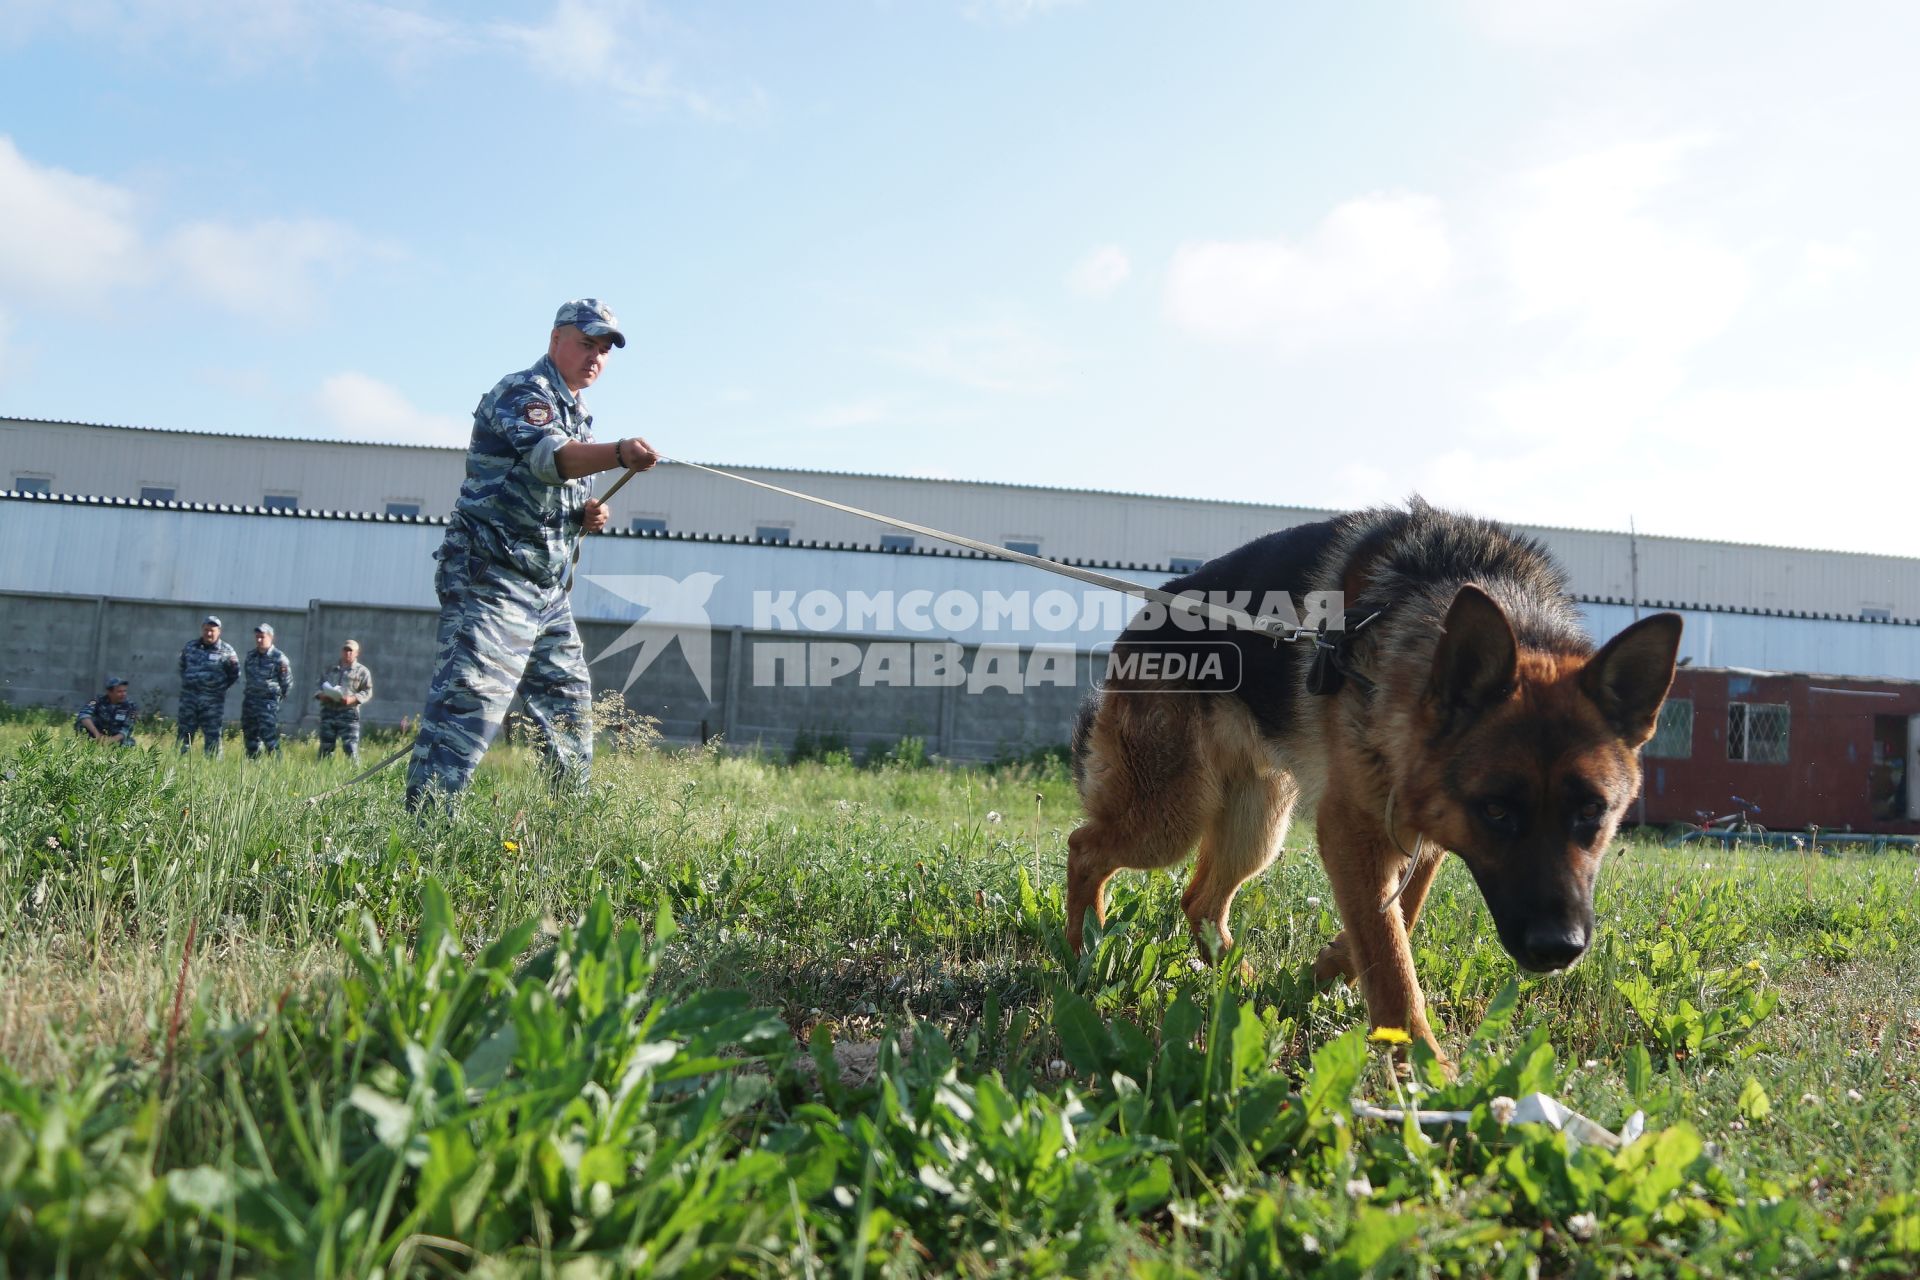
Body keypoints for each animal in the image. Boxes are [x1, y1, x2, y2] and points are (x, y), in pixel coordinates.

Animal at [1067, 495, 1681, 1059]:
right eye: (1497, 811)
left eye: (1592, 812)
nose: (1558, 949)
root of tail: (1141, 620)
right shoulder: (1352, 828)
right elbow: (1390, 959)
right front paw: (1426, 1072)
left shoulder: (1421, 835)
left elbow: (1396, 919)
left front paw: (1327, 968)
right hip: (1172, 817)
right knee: (1085, 846)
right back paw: (1082, 952)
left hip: (1256, 824)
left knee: (1200, 903)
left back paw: (1240, 990)